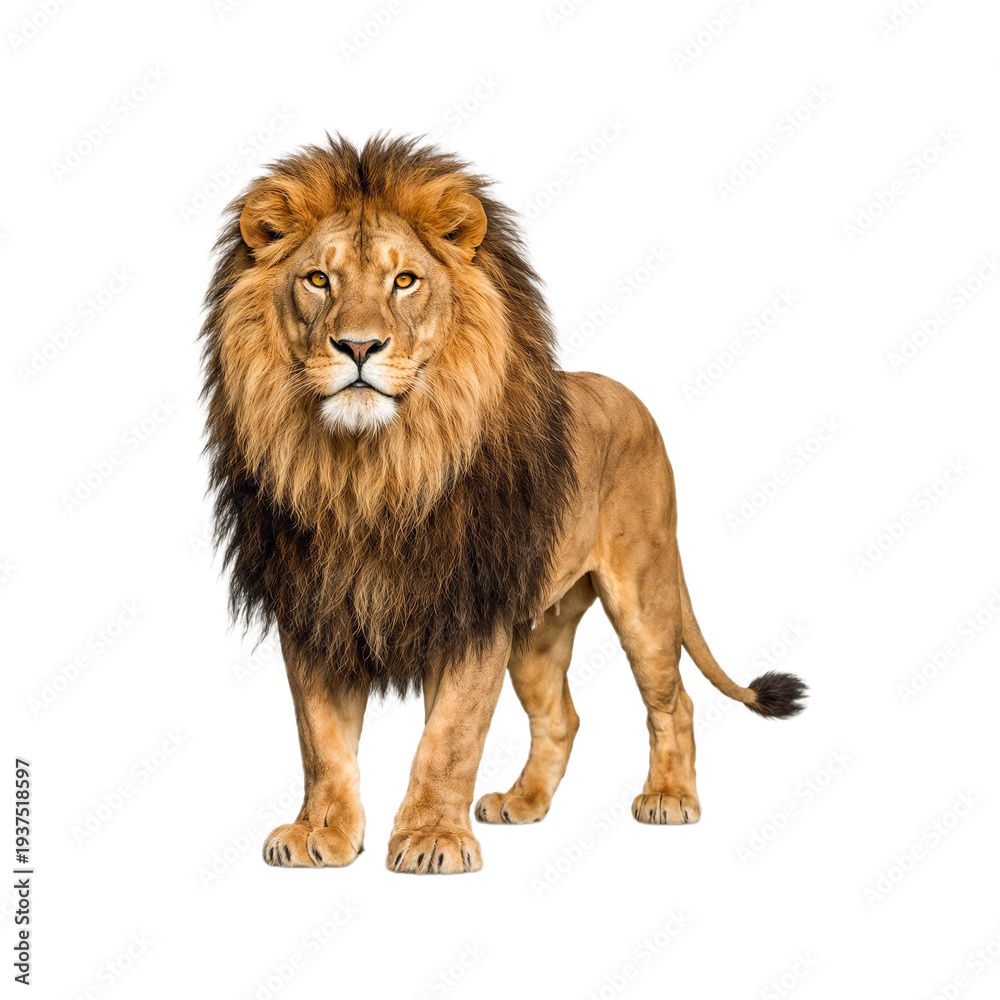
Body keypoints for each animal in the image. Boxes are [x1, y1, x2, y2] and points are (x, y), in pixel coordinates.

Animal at [200, 134, 807, 875]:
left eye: (405, 281)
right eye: (318, 280)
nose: (359, 346)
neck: (372, 471)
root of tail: (629, 397)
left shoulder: (471, 612)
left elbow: (451, 735)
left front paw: (432, 837)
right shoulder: (315, 610)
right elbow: (322, 741)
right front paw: (323, 832)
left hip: (644, 591)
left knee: (675, 700)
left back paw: (669, 798)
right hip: (540, 628)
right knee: (561, 716)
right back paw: (523, 803)